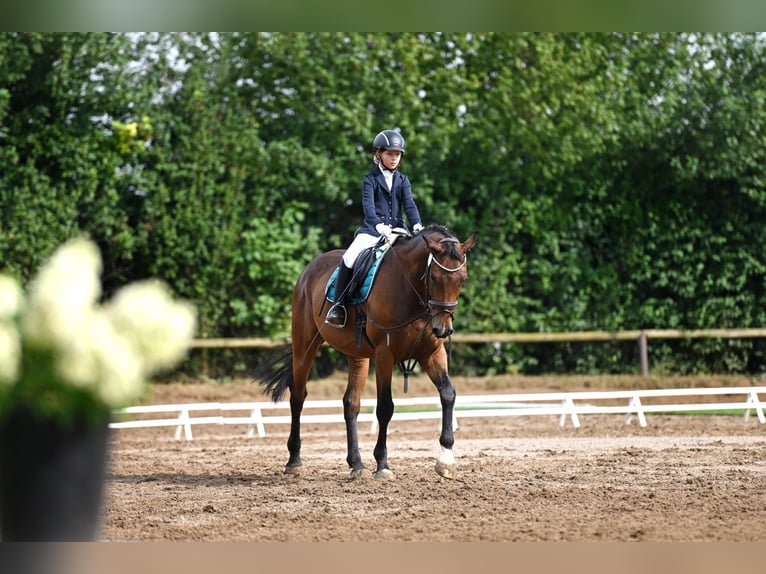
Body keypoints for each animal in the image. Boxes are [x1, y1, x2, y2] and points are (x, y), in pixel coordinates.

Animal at [256, 224, 478, 480]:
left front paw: (446, 460)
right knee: (298, 397)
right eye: (433, 277)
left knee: (351, 403)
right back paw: (294, 460)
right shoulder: (385, 355)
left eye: (462, 279)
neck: (411, 290)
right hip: (305, 346)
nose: (443, 329)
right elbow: (385, 408)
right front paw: (382, 464)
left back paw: (356, 464)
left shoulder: (431, 353)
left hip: (357, 354)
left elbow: (448, 394)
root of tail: (309, 268)